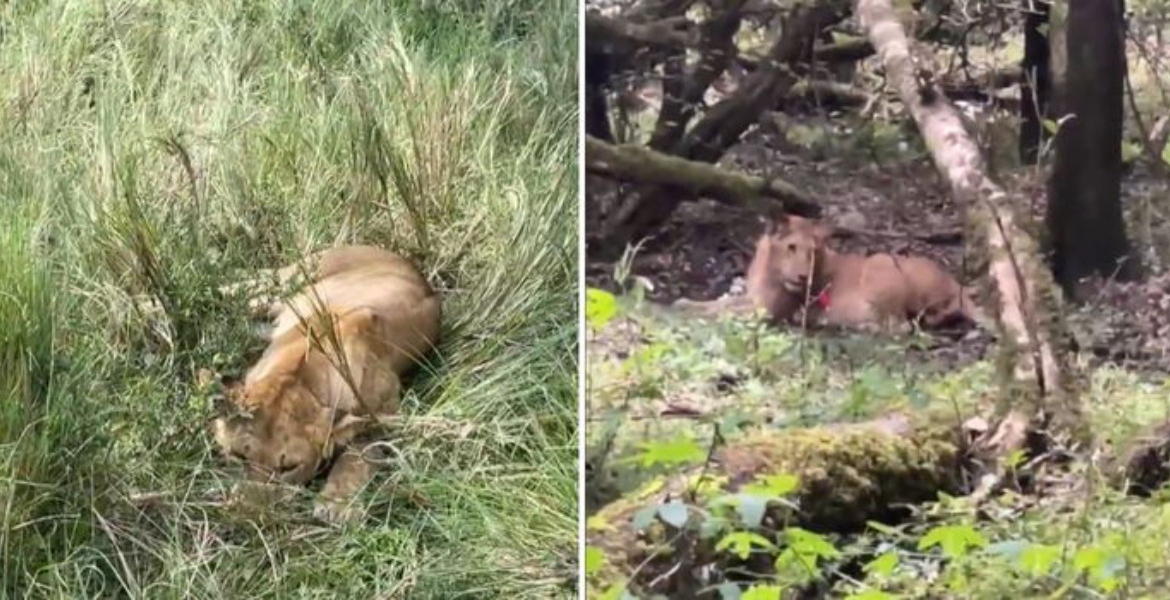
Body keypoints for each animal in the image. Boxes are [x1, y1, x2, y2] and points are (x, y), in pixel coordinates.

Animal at [211, 245, 440, 523]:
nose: (248, 513)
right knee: (230, 287)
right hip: (277, 287)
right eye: (239, 456)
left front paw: (337, 505)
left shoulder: (383, 416)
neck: (298, 376)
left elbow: (358, 456)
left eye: (288, 467)